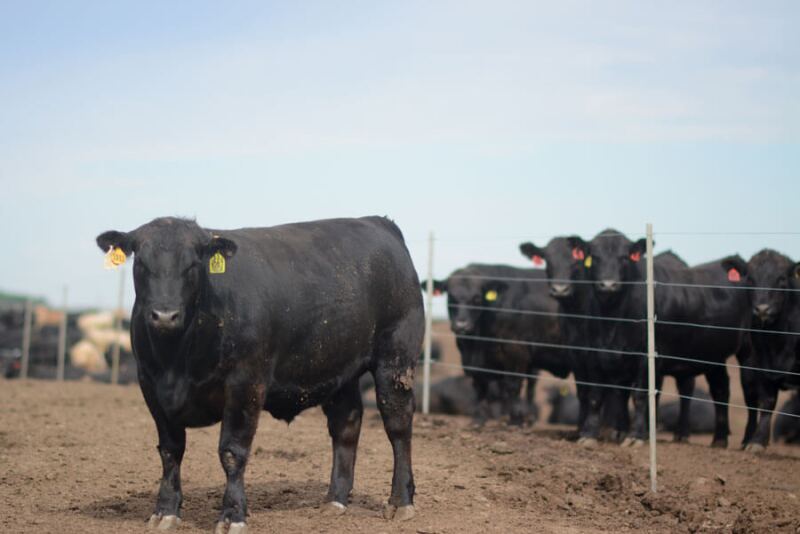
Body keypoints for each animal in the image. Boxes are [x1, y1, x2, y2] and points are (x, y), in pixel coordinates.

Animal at [96, 216, 424, 532]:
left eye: (193, 263)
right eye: (141, 262)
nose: (165, 315)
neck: (176, 360)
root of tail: (379, 222)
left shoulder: (245, 383)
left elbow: (232, 452)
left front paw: (233, 516)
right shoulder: (150, 386)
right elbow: (170, 451)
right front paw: (165, 511)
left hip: (395, 359)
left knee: (398, 426)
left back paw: (400, 502)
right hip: (339, 367)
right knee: (346, 424)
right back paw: (335, 500)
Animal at [421, 264, 566, 426]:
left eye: (477, 298)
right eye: (451, 296)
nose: (461, 326)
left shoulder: (516, 354)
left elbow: (512, 386)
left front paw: (515, 420)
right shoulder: (475, 364)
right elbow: (480, 387)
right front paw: (478, 419)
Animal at [740, 249, 800, 451]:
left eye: (781, 279)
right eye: (750, 279)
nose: (762, 310)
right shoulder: (761, 366)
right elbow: (767, 402)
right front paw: (757, 442)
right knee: (751, 406)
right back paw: (746, 440)